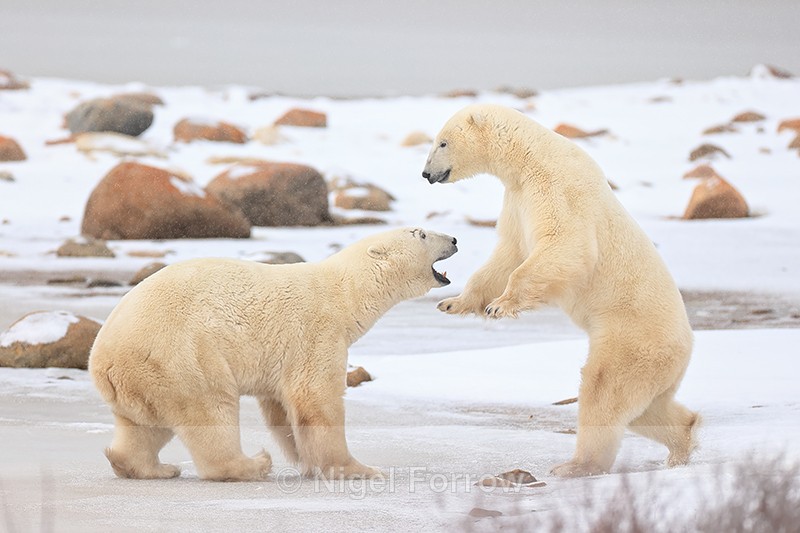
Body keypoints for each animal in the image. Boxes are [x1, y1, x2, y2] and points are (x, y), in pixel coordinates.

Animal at [89, 227, 457, 481]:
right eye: (422, 233)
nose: (454, 239)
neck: (343, 293)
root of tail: (102, 360)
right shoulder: (316, 332)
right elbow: (316, 399)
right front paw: (358, 469)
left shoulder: (284, 356)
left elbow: (282, 409)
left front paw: (307, 459)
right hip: (181, 356)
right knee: (211, 410)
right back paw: (253, 464)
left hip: (144, 379)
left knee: (142, 427)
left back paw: (154, 468)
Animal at [422, 104, 699, 477]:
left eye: (443, 142)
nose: (426, 173)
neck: (530, 158)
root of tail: (686, 346)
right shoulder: (517, 199)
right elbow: (509, 253)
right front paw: (455, 303)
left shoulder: (557, 189)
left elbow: (565, 246)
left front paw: (501, 306)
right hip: (653, 365)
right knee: (647, 409)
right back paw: (682, 445)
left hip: (632, 340)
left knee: (604, 388)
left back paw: (576, 465)